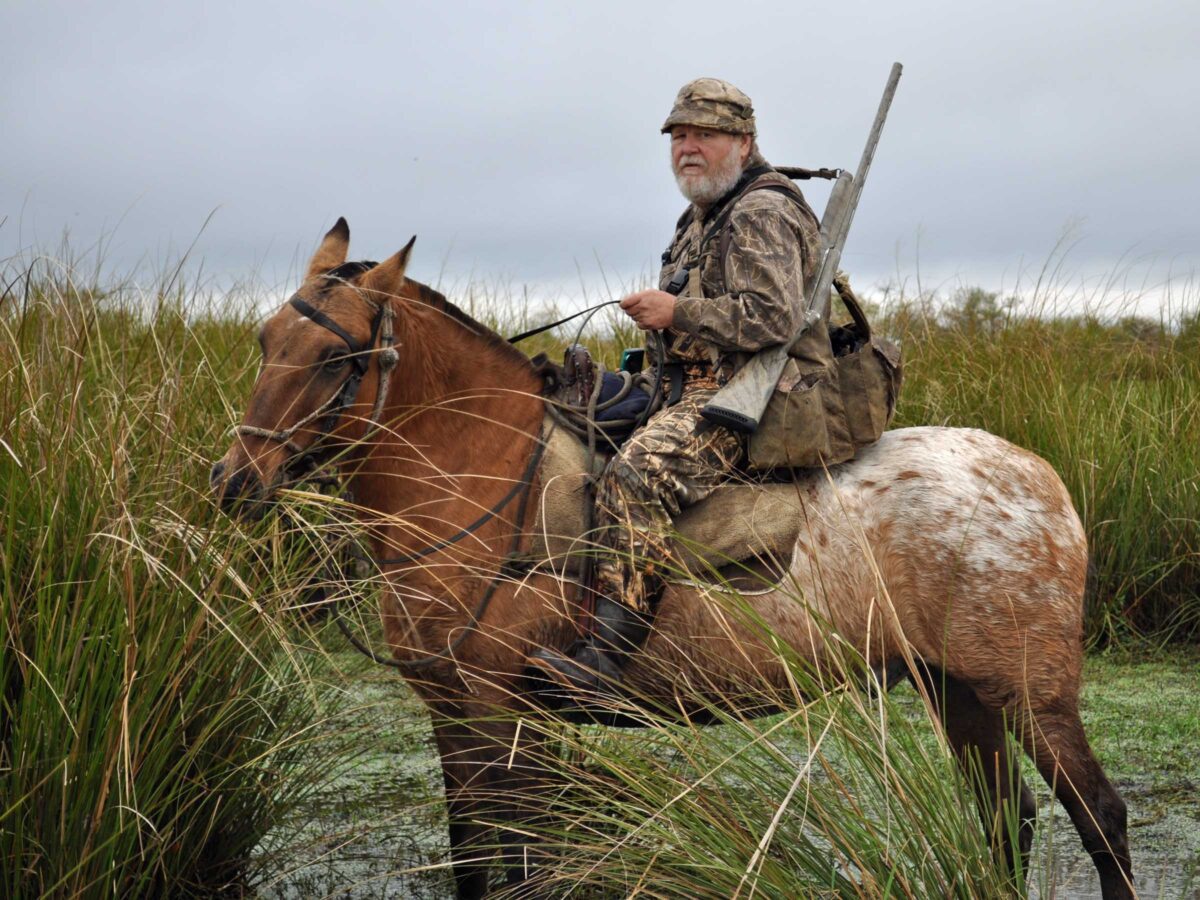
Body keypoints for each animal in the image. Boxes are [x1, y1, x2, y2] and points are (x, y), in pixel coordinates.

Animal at [208, 220, 1132, 900]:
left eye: (338, 358)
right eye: (263, 339)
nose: (235, 481)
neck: (486, 474)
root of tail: (1041, 480)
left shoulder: (506, 714)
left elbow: (516, 863)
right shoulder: (452, 712)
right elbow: (475, 859)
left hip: (1031, 692)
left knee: (1100, 817)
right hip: (955, 688)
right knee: (1006, 818)